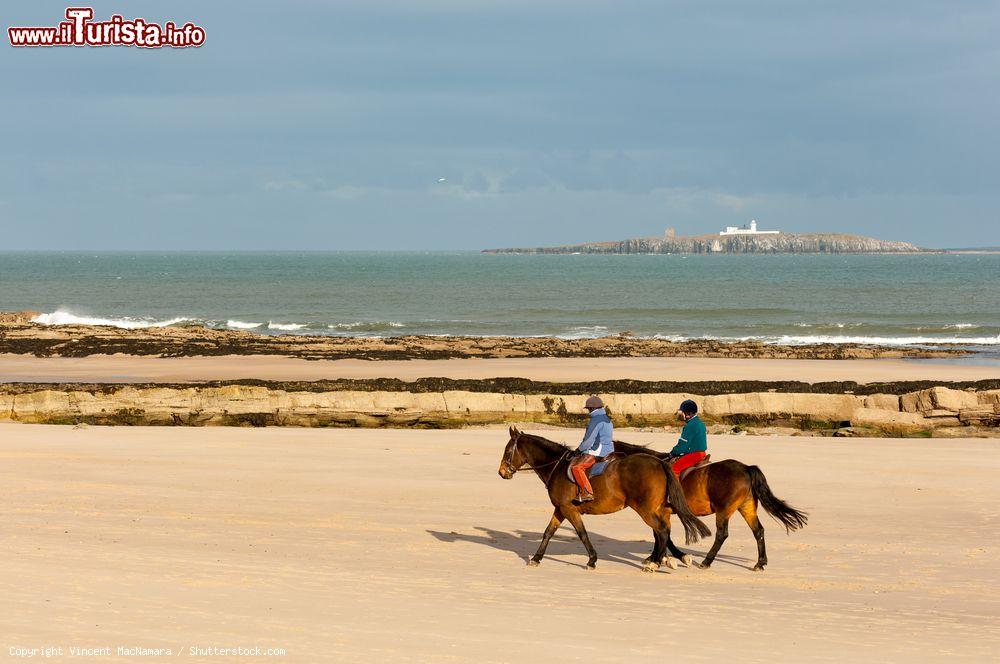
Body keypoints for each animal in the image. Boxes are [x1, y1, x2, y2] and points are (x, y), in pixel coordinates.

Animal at [500, 428, 712, 572]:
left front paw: (592, 560)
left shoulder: (569, 509)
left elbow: (582, 533)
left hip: (646, 510)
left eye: (508, 450)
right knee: (663, 532)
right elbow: (548, 533)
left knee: (661, 531)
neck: (557, 467)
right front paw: (536, 558)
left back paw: (656, 562)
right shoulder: (560, 509)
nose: (501, 472)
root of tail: (659, 463)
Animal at [612, 440, 808, 572]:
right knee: (758, 531)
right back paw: (760, 563)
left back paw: (706, 562)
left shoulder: (657, 511)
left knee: (722, 534)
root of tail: (746, 468)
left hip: (723, 510)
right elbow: (660, 534)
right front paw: (657, 557)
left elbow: (661, 534)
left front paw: (661, 558)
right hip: (746, 508)